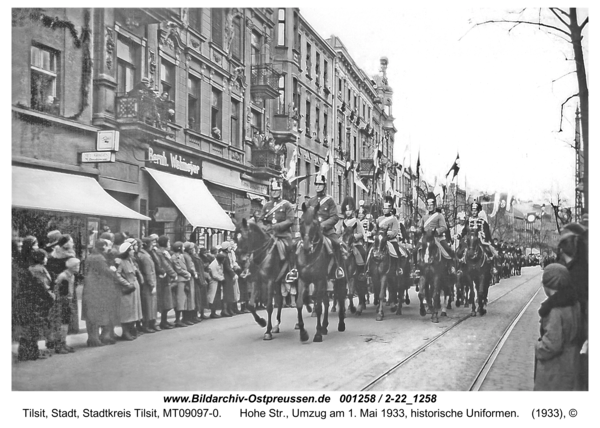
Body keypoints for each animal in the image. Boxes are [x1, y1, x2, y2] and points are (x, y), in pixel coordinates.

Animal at [296, 202, 346, 342]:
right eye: (301, 222)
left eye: (315, 223)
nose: (307, 247)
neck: (309, 256)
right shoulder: (303, 280)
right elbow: (300, 303)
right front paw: (303, 333)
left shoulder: (318, 280)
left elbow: (318, 307)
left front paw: (317, 334)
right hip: (325, 281)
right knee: (326, 302)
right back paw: (324, 327)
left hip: (338, 280)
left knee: (340, 298)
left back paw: (340, 324)